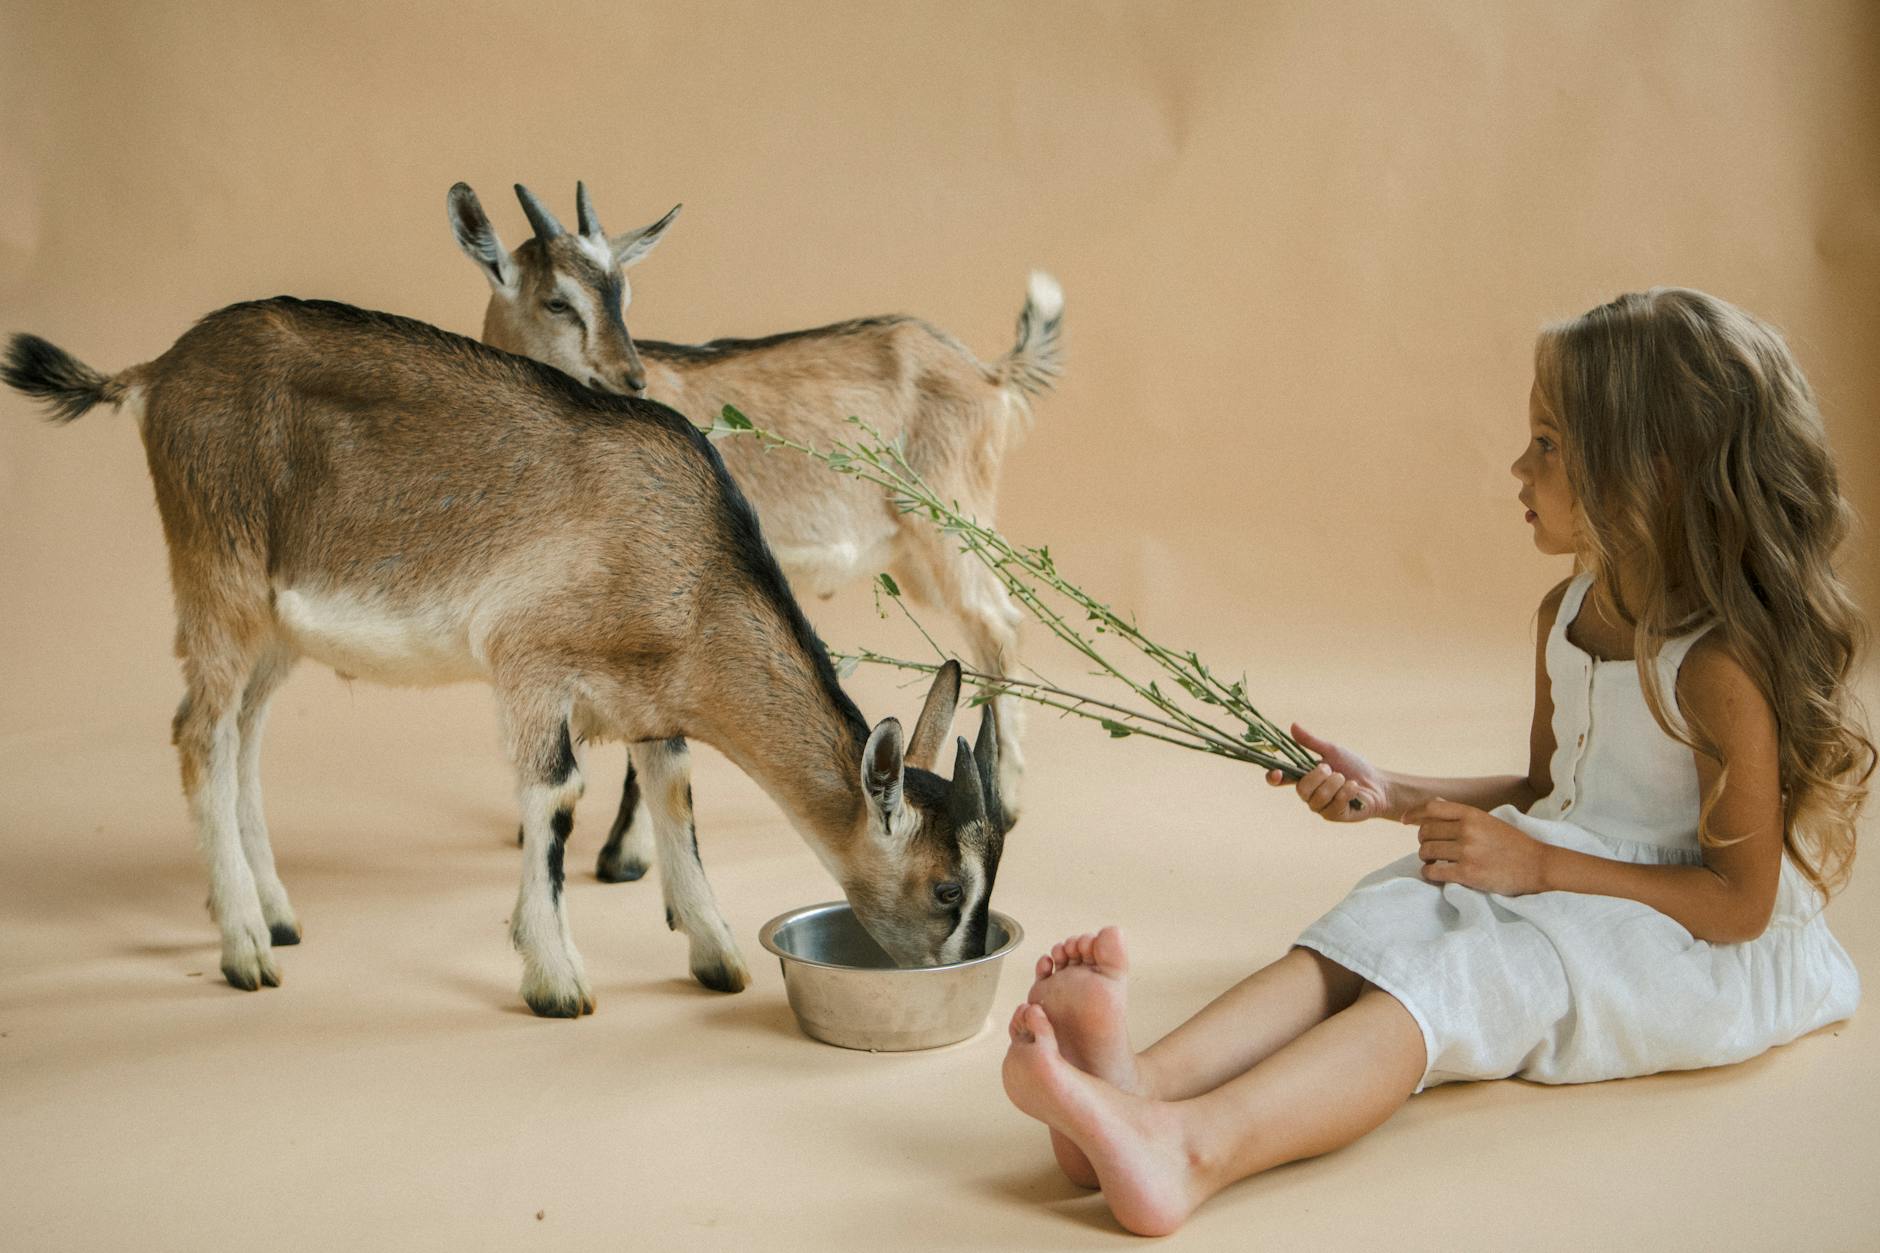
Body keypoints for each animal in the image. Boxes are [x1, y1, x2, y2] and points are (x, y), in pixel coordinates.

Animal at [3, 304, 1015, 1015]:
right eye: (946, 886)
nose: (970, 961)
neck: (686, 563)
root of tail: (155, 374)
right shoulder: (531, 665)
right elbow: (555, 798)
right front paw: (556, 979)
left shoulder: (650, 698)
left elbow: (676, 796)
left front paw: (717, 956)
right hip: (217, 571)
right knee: (197, 733)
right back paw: (245, 948)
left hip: (276, 627)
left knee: (241, 735)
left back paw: (279, 914)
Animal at [443, 183, 1060, 876]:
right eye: (557, 299)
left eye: (624, 294)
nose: (631, 378)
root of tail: (989, 375)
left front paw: (624, 857)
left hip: (950, 519)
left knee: (1000, 624)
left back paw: (1006, 803)